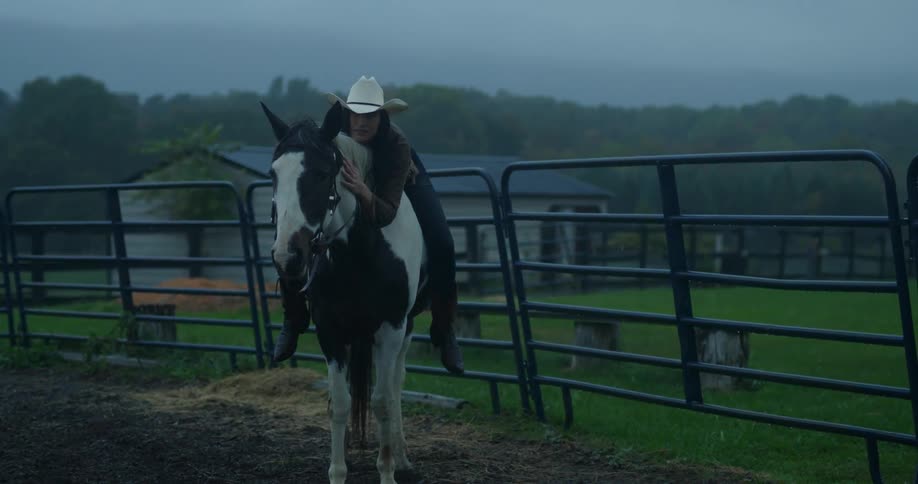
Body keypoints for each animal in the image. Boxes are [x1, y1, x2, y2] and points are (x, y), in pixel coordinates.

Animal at [261, 101, 426, 484]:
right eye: (273, 175)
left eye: (323, 174)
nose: (287, 256)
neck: (361, 253)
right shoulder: (331, 331)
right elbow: (339, 402)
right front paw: (338, 471)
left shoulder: (391, 329)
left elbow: (382, 401)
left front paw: (387, 471)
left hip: (405, 330)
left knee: (395, 385)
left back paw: (402, 456)